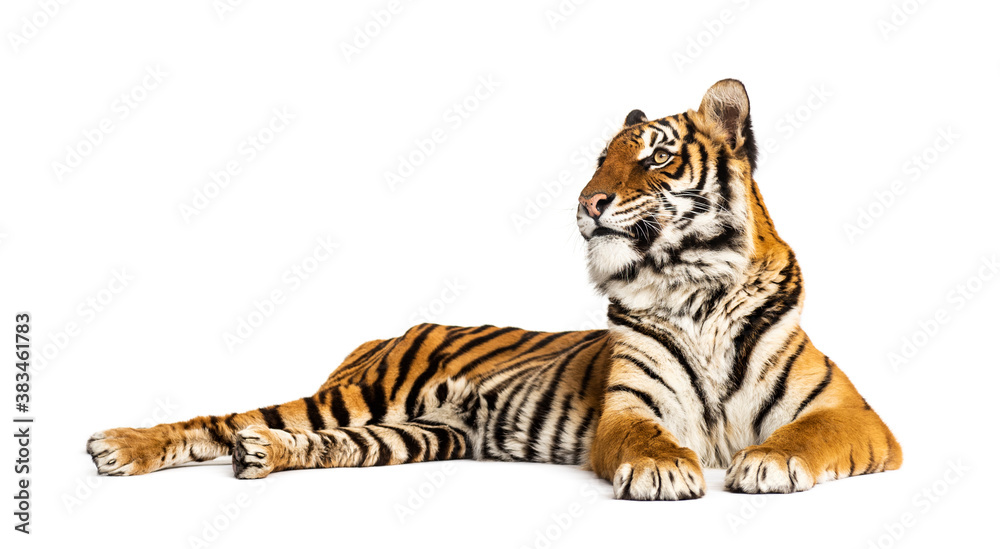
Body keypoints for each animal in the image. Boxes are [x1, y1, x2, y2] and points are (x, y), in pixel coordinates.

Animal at [87, 78, 901, 500]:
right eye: (601, 161)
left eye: (655, 159)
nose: (589, 201)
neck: (692, 287)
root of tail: (383, 334)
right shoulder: (627, 411)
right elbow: (647, 438)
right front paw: (665, 468)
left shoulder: (855, 415)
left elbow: (808, 434)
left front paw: (763, 461)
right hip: (362, 394)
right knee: (223, 418)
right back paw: (119, 447)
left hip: (423, 431)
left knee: (314, 441)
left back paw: (262, 456)